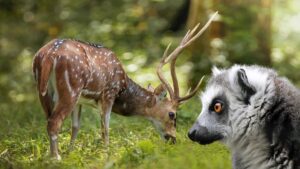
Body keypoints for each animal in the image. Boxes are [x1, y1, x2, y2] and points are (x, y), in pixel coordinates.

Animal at [32, 12, 216, 160]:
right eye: (172, 114)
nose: (173, 139)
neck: (123, 86)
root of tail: (49, 55)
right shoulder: (108, 92)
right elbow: (105, 128)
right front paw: (106, 155)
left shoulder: (81, 101)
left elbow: (76, 127)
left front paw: (71, 154)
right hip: (71, 88)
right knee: (54, 122)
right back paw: (55, 158)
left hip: (44, 90)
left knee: (48, 119)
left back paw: (52, 155)